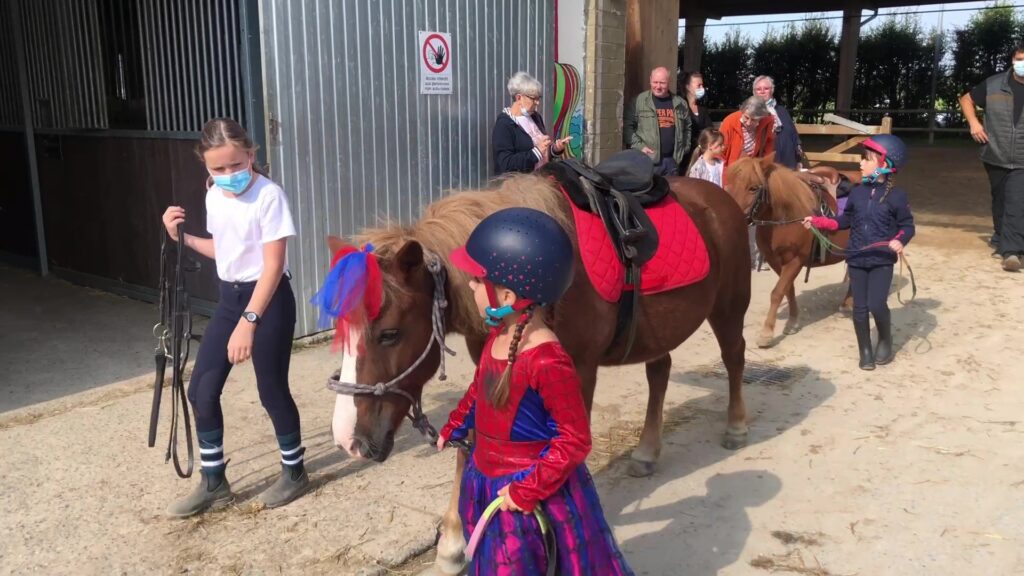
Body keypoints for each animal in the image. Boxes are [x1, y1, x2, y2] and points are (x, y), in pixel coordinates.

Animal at [327, 168, 753, 569]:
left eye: (389, 334)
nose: (349, 441)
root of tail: (719, 196)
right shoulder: (489, 374)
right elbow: (471, 445)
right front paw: (453, 542)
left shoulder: (577, 370)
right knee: (660, 373)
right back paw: (647, 452)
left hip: (729, 307)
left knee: (734, 358)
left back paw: (736, 426)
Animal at [724, 154, 851, 348]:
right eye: (728, 184)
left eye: (754, 188)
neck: (786, 217)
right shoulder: (776, 260)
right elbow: (787, 288)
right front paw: (793, 322)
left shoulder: (796, 260)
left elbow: (777, 293)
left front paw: (767, 333)